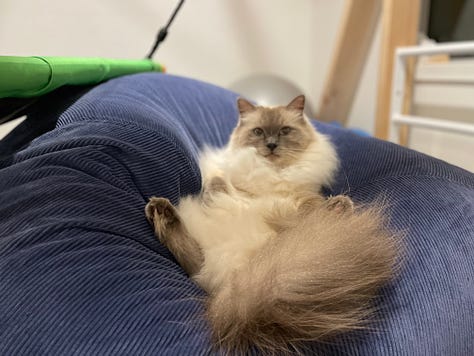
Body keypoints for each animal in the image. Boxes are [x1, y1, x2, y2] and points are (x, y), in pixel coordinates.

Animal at [146, 96, 398, 354]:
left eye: (284, 131)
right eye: (258, 132)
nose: (271, 145)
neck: (272, 172)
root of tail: (241, 286)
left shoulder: (304, 196)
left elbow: (307, 203)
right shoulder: (234, 181)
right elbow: (221, 183)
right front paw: (213, 193)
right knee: (194, 261)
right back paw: (161, 211)